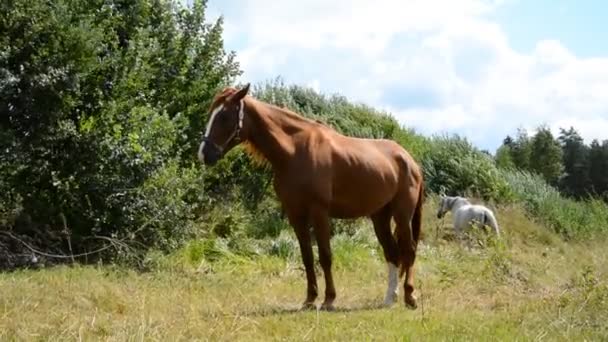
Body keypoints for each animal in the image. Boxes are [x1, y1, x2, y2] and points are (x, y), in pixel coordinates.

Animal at [197, 83, 426, 310]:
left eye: (224, 116)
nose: (204, 153)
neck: (295, 151)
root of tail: (409, 160)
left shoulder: (319, 212)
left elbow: (325, 256)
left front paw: (329, 299)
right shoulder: (295, 214)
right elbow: (307, 257)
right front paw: (309, 299)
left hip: (402, 215)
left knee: (409, 250)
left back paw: (410, 297)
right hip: (380, 217)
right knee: (393, 253)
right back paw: (390, 298)